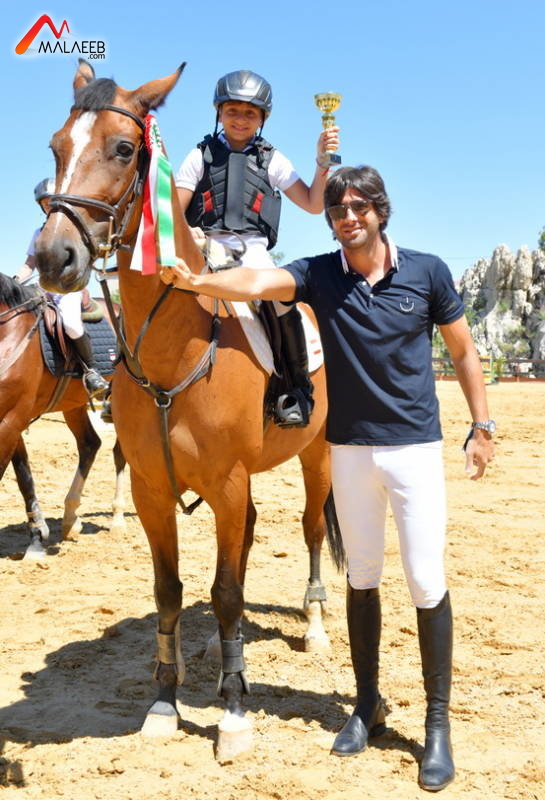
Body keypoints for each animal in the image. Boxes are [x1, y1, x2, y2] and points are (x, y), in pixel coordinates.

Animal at [0, 274, 126, 559]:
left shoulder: (11, 419)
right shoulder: (13, 421)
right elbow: (24, 475)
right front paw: (36, 537)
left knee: (120, 452)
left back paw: (117, 518)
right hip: (73, 405)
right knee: (90, 444)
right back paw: (70, 518)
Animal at [34, 59, 342, 761]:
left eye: (124, 149)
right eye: (57, 146)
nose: (53, 257)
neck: (175, 355)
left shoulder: (226, 482)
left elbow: (225, 593)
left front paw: (231, 713)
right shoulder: (154, 487)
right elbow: (171, 590)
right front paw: (164, 701)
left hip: (317, 455)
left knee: (311, 530)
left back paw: (313, 624)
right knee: (247, 540)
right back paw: (215, 649)